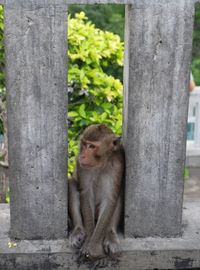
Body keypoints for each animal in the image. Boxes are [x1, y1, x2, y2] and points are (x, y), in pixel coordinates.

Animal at [69, 124, 125, 262]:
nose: (82, 155)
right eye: (84, 144)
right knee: (72, 184)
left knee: (118, 194)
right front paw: (88, 243)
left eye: (92, 146)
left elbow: (110, 199)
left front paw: (94, 248)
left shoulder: (118, 163)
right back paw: (78, 231)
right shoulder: (80, 165)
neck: (101, 163)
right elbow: (85, 194)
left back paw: (110, 235)